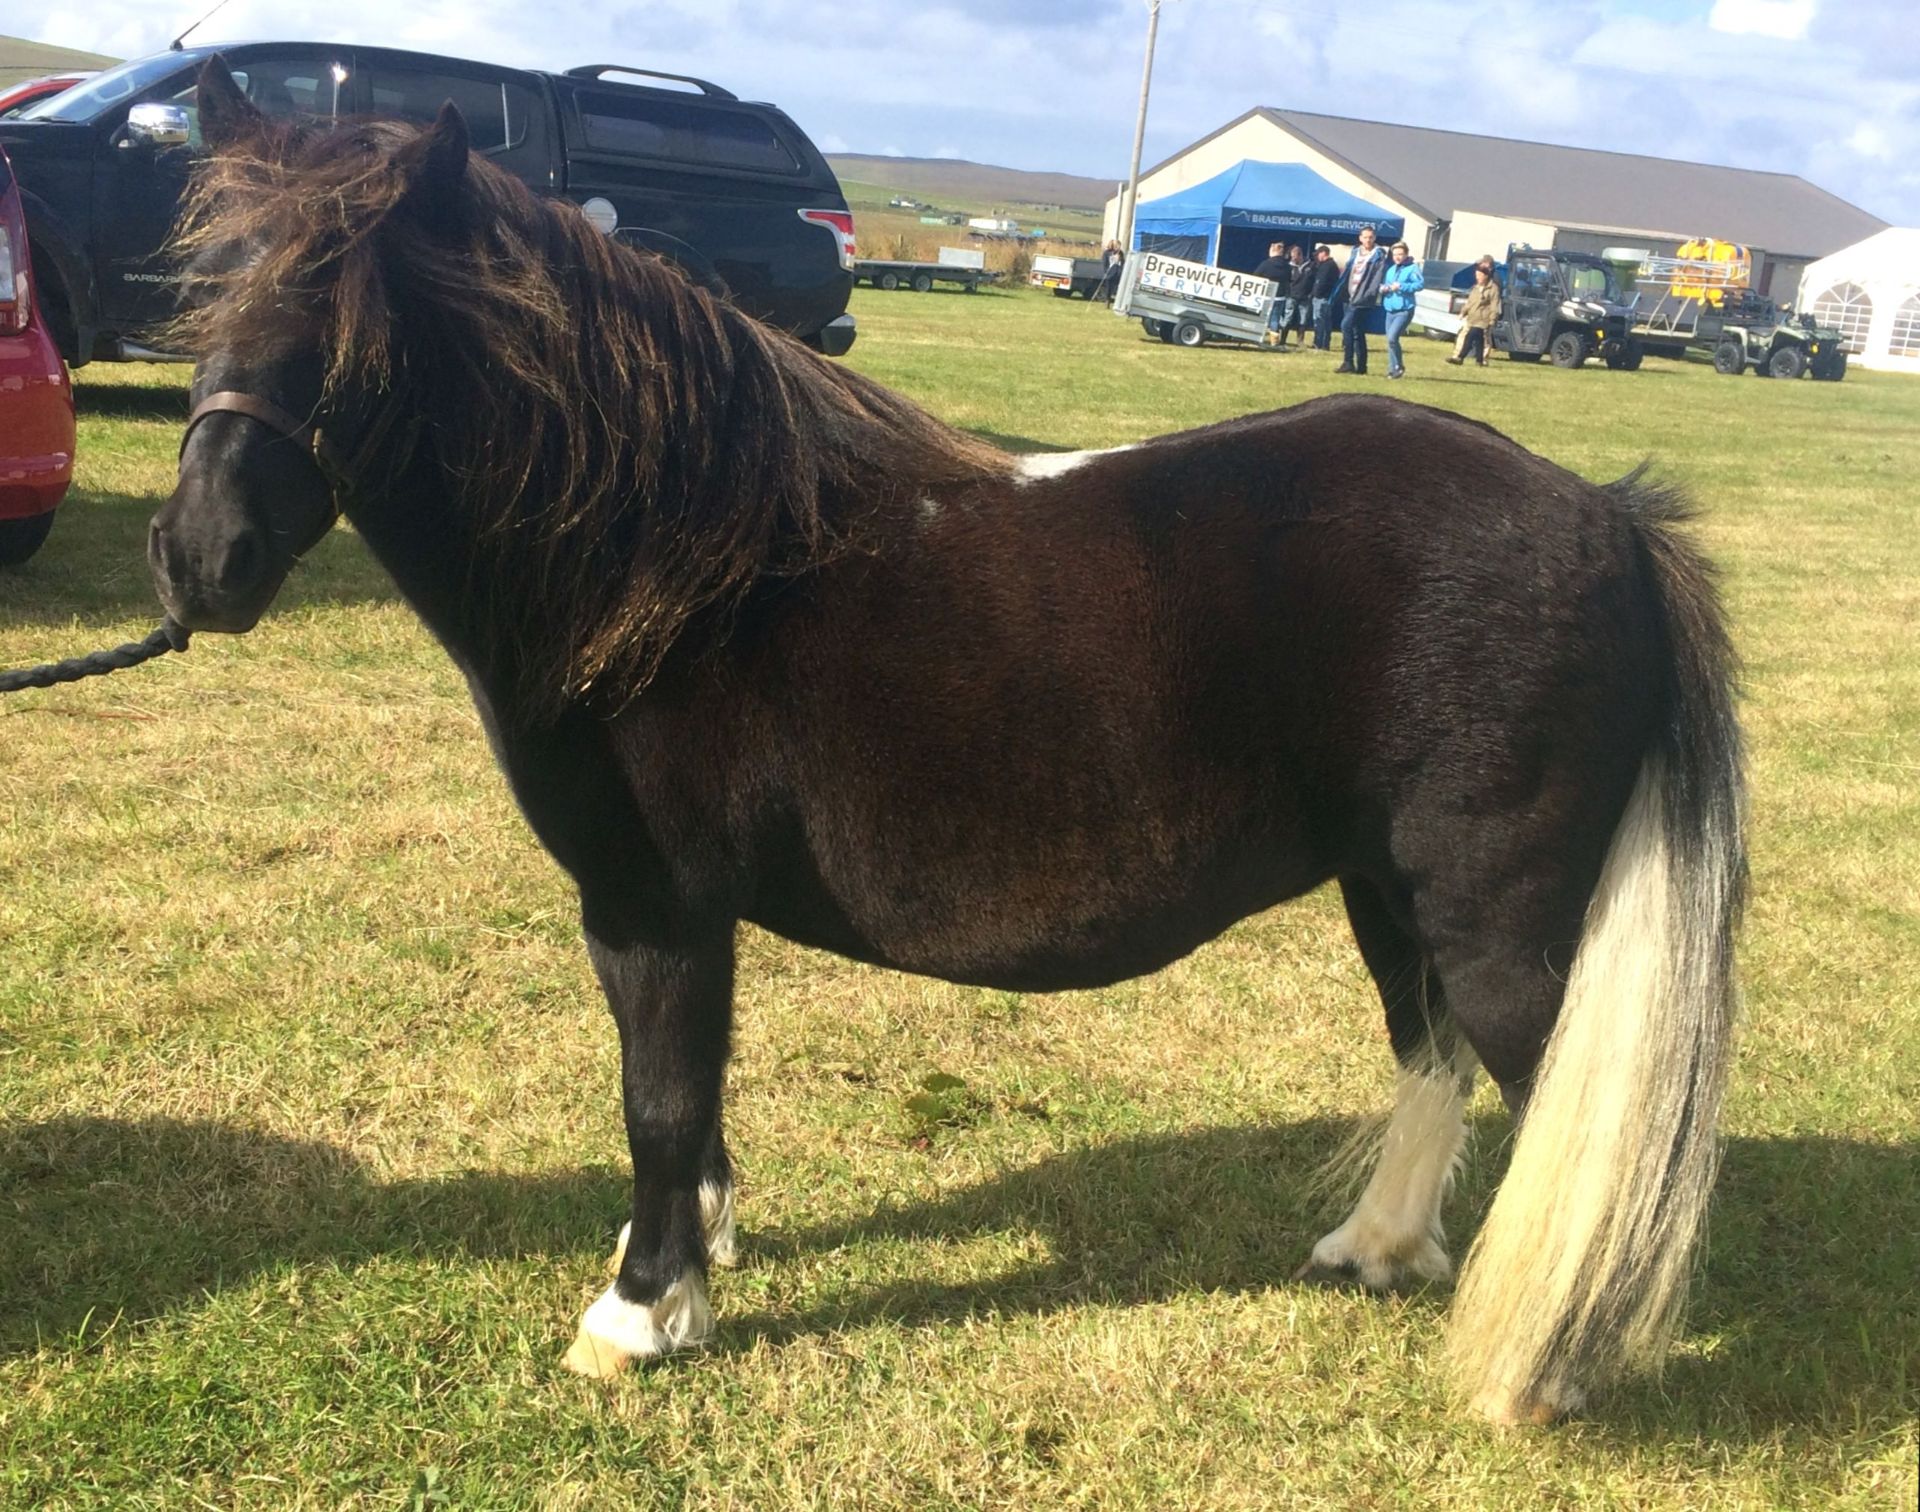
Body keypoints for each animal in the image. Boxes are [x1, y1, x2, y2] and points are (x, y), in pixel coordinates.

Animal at [149, 59, 1743, 1419]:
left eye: (358, 323)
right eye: (201, 288)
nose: (200, 559)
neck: (672, 565)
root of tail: (1608, 515)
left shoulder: (655, 908)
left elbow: (658, 1098)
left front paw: (636, 1313)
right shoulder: (671, 921)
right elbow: (690, 1098)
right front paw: (692, 1263)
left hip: (1503, 923)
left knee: (1574, 1112)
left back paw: (1544, 1369)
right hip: (1389, 889)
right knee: (1434, 1055)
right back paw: (1384, 1251)